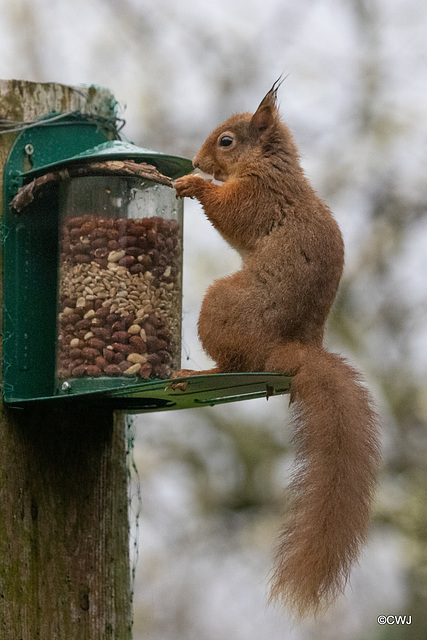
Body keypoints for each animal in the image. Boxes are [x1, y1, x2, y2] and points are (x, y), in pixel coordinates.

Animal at [174, 77, 382, 616]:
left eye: (226, 141)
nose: (197, 161)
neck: (269, 164)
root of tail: (294, 350)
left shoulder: (260, 197)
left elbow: (231, 212)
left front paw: (194, 187)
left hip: (221, 308)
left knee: (233, 362)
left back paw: (198, 375)